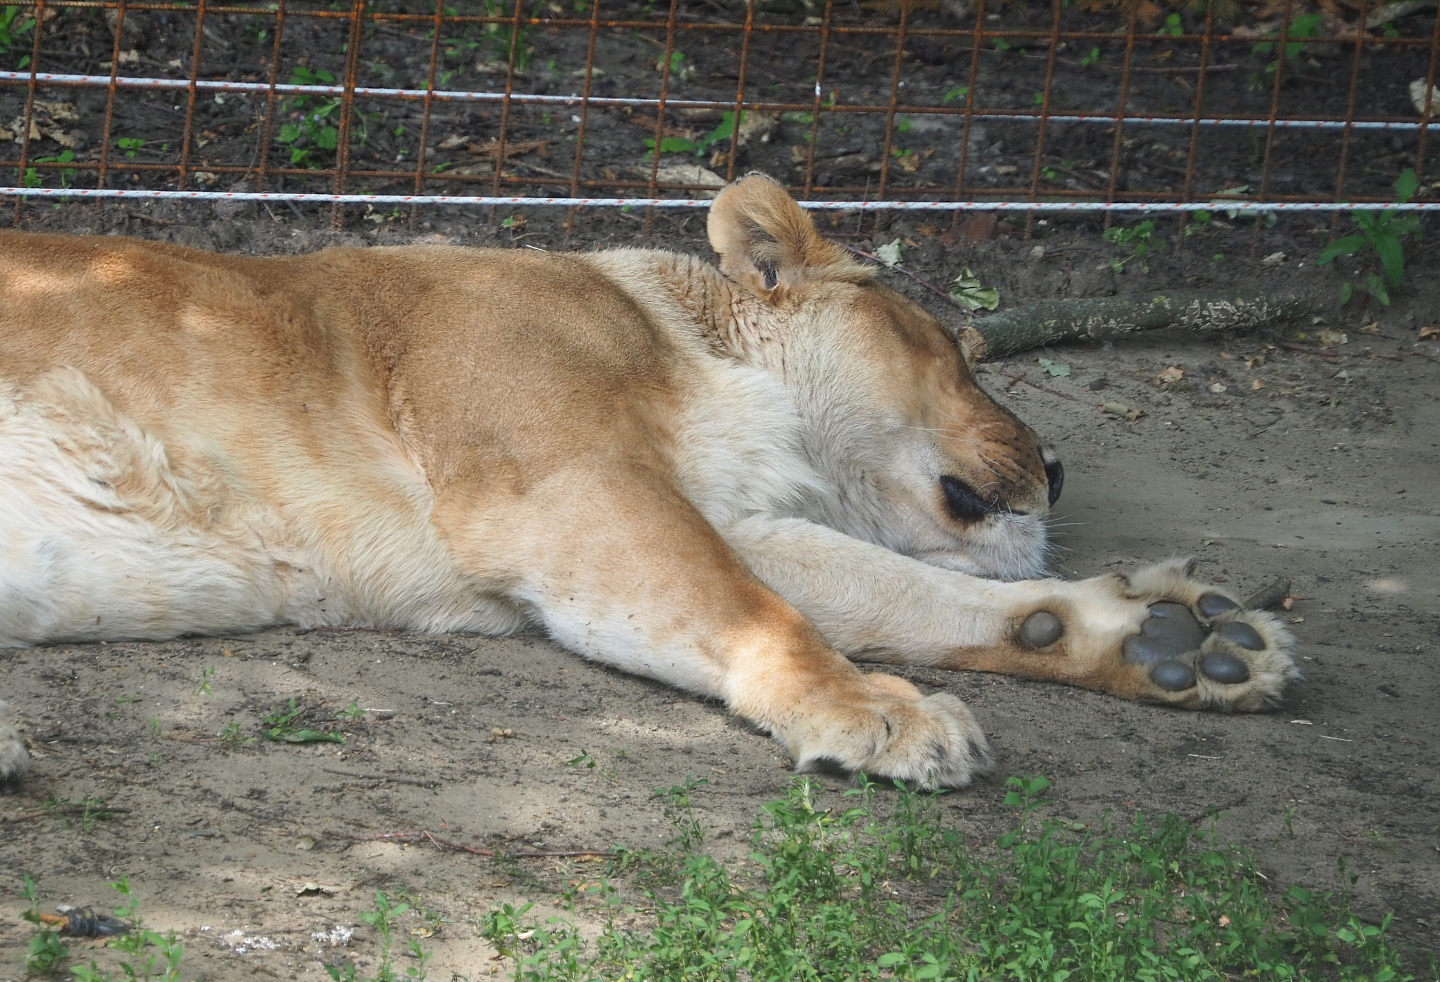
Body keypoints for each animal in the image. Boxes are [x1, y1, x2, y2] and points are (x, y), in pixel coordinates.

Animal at [0, 175, 1297, 788]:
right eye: (960, 349)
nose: (1063, 470)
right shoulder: (569, 488)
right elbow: (760, 611)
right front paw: (878, 712)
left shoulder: (710, 515)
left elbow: (904, 592)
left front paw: (1183, 641)